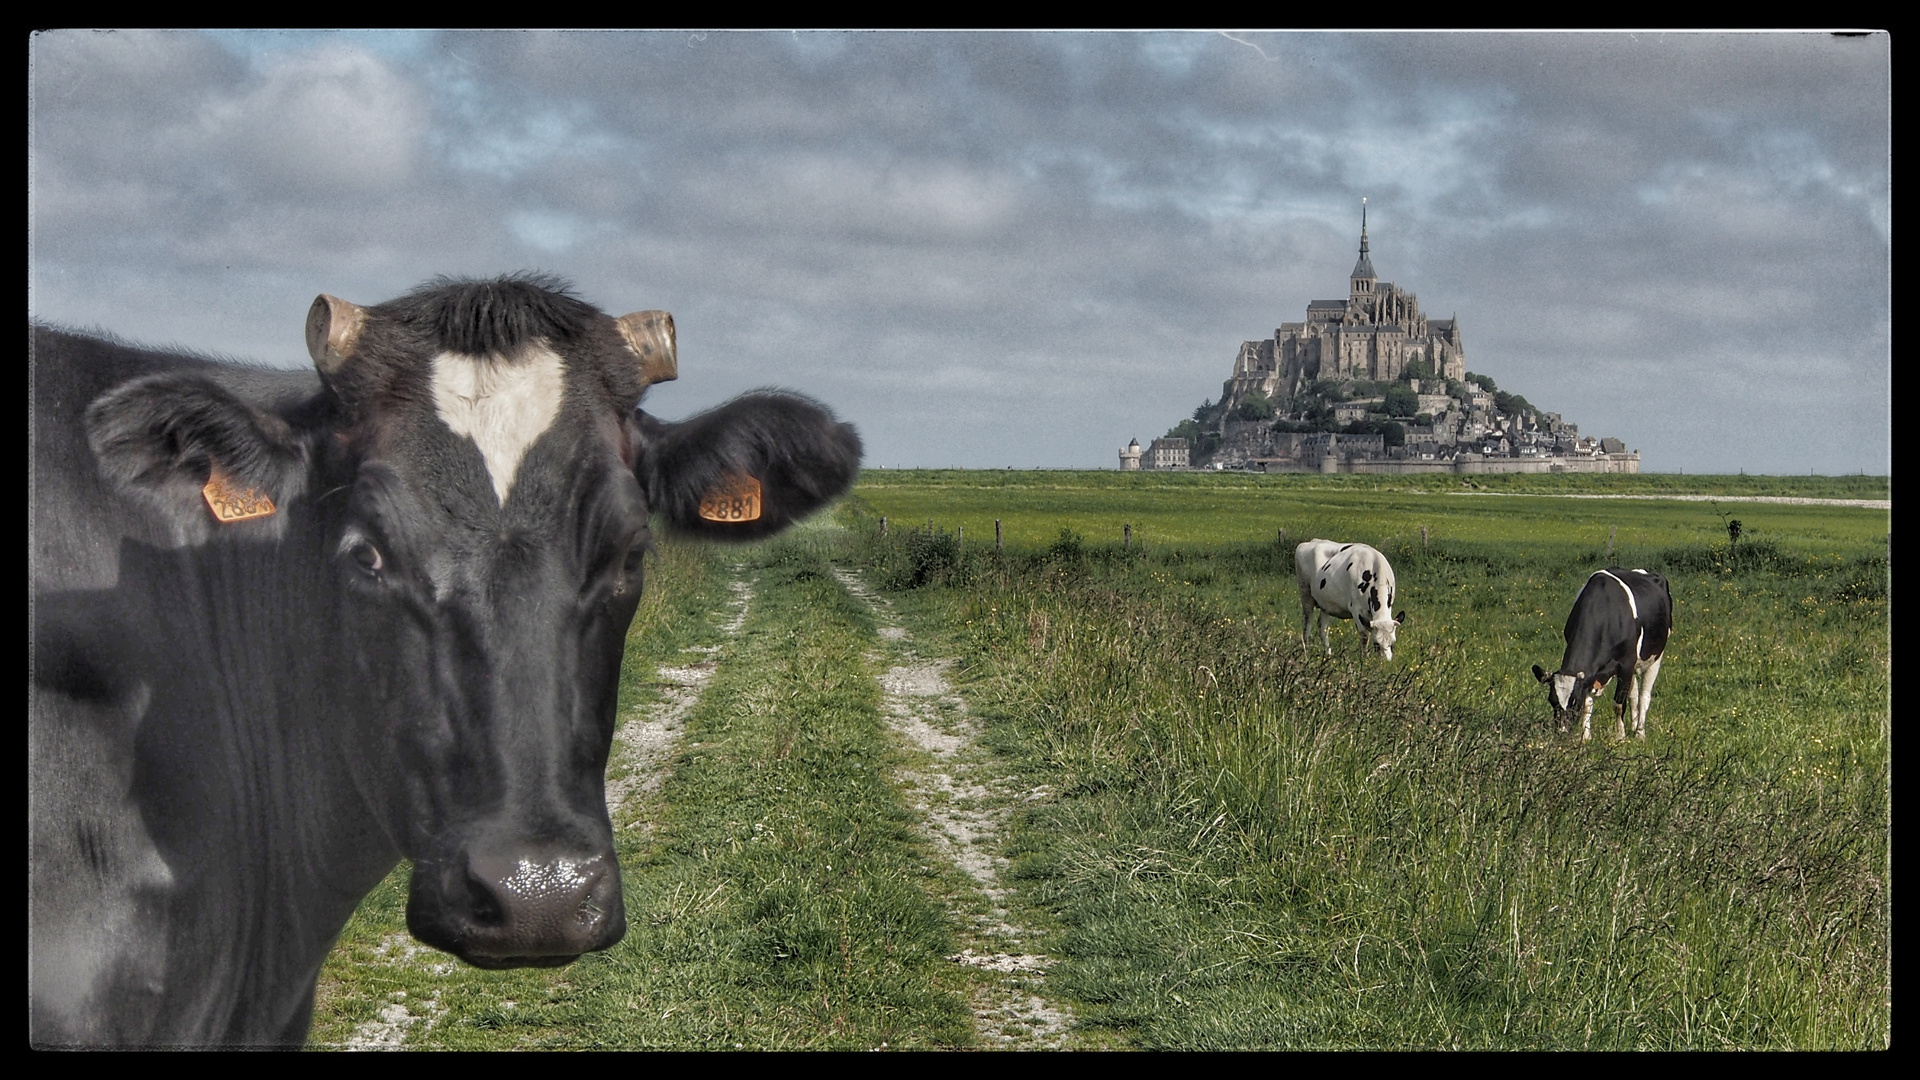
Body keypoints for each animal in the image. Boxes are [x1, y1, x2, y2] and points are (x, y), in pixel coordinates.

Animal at [1536, 564, 1674, 737]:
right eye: (1552, 701)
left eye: (1574, 702)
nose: (1562, 732)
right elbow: (1589, 704)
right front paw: (1585, 737)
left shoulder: (1626, 663)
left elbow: (1618, 704)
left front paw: (1620, 737)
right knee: (1634, 694)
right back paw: (1634, 725)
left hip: (1655, 655)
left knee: (1644, 696)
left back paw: (1640, 733)